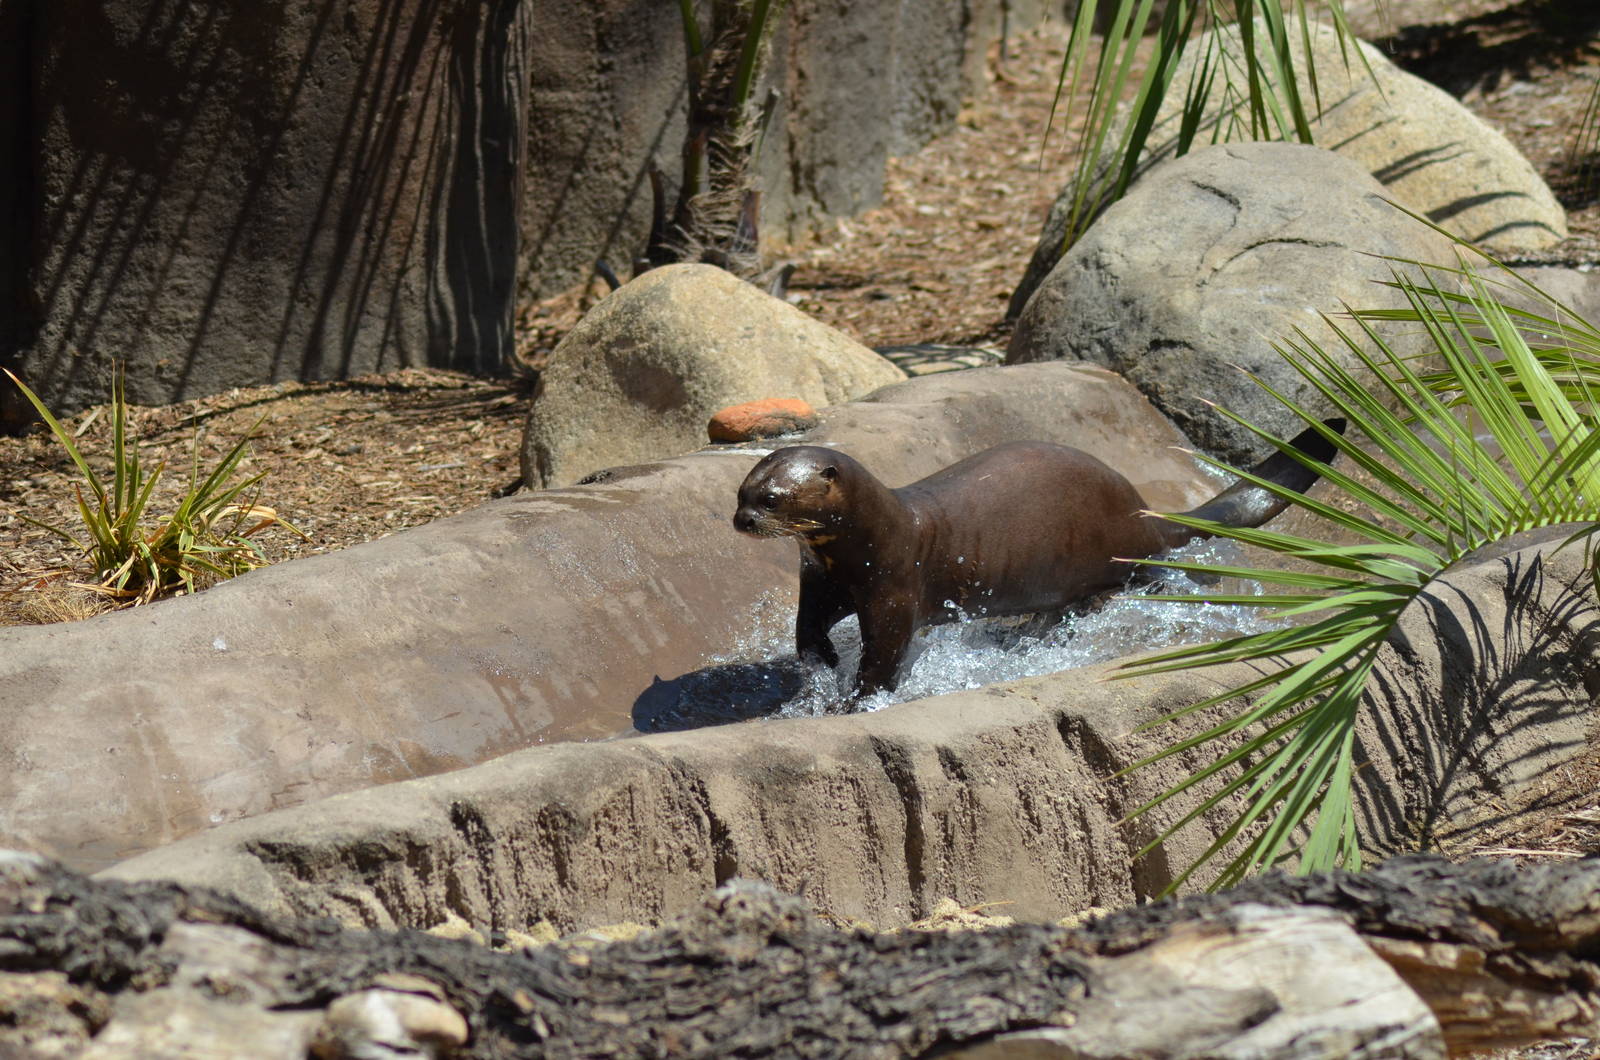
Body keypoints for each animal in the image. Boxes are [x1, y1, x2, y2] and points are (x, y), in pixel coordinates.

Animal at [732, 420, 1343, 698]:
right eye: (741, 493)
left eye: (772, 499)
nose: (742, 521)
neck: (871, 541)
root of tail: (1142, 514)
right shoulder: (822, 581)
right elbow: (807, 628)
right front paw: (822, 662)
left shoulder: (894, 587)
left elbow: (885, 655)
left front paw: (856, 699)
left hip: (1112, 559)